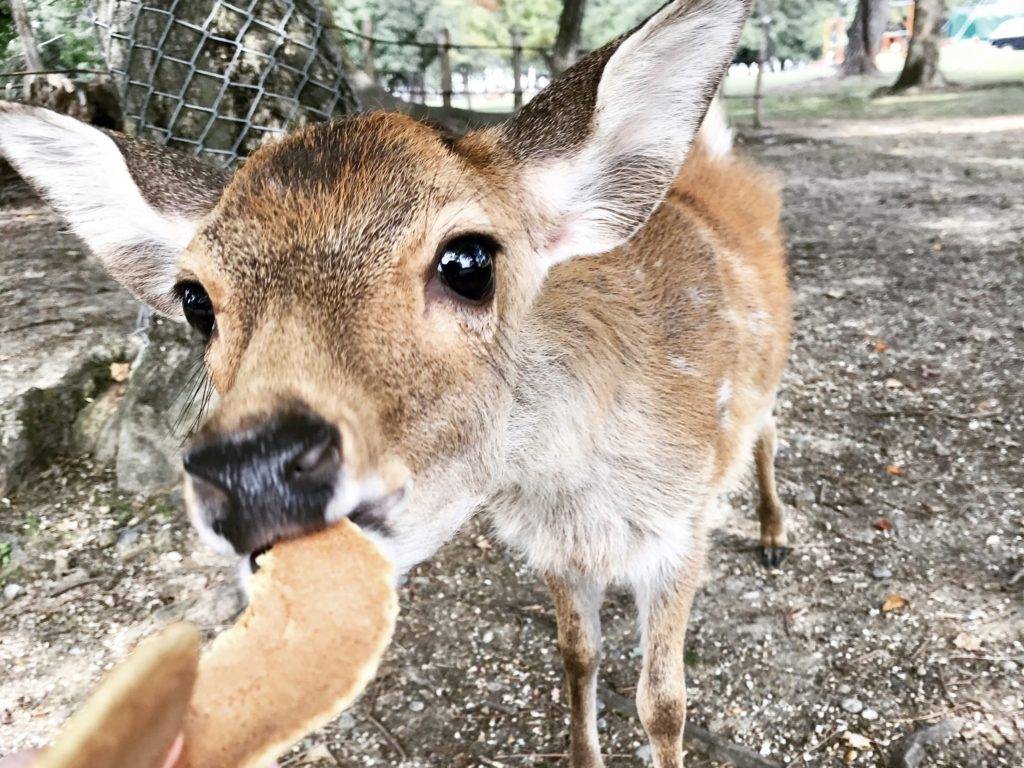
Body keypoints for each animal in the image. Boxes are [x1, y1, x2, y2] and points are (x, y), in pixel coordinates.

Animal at [0, 1, 790, 765]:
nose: (252, 469)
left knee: (770, 428)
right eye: (195, 301)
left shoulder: (682, 526)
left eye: (470, 261)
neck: (576, 491)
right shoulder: (558, 551)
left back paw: (775, 536)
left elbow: (664, 704)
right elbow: (577, 656)